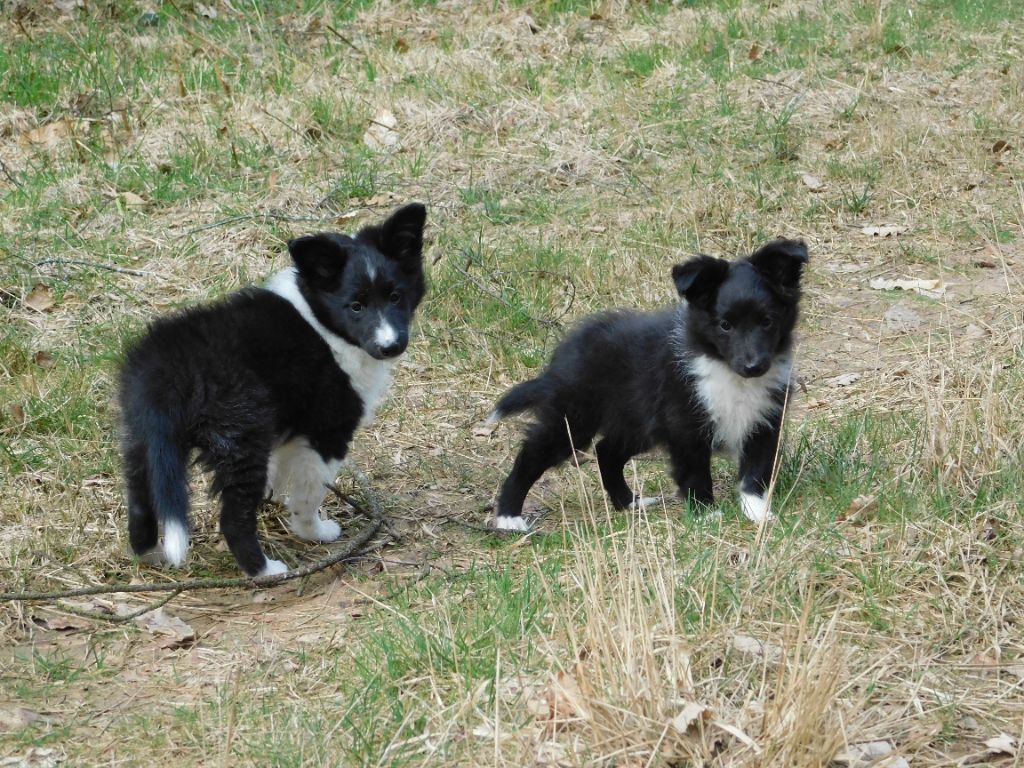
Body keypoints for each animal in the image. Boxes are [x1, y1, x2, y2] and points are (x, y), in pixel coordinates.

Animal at [119, 201, 428, 573]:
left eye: (396, 296)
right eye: (356, 306)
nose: (391, 346)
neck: (320, 318)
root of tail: (167, 373)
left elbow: (283, 471)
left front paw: (279, 499)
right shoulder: (326, 431)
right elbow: (310, 491)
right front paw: (312, 530)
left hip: (142, 438)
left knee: (140, 498)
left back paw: (148, 553)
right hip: (241, 438)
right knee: (233, 517)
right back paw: (264, 570)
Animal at [487, 239, 806, 528]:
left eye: (767, 321)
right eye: (725, 325)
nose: (753, 367)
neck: (726, 370)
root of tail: (562, 355)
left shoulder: (765, 419)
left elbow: (756, 472)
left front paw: (758, 514)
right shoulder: (684, 424)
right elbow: (695, 471)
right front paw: (705, 514)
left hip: (635, 421)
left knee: (607, 452)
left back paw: (629, 502)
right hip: (574, 418)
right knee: (532, 454)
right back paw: (508, 517)